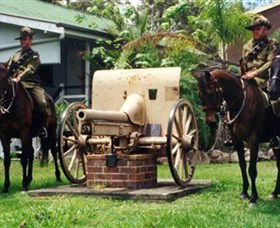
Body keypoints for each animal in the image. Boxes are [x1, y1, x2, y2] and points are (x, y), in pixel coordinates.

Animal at [0, 62, 60, 192]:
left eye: (5, 78)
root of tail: (49, 98)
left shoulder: (23, 133)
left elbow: (23, 159)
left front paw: (23, 185)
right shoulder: (4, 135)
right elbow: (7, 160)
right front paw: (6, 187)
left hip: (51, 131)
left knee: (53, 151)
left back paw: (58, 176)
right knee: (32, 153)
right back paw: (29, 179)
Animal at [194, 69, 280, 205]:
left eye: (210, 92)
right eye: (199, 94)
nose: (210, 122)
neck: (241, 103)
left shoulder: (253, 140)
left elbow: (252, 169)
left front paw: (253, 197)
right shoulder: (237, 141)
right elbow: (242, 165)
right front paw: (244, 193)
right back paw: (275, 193)